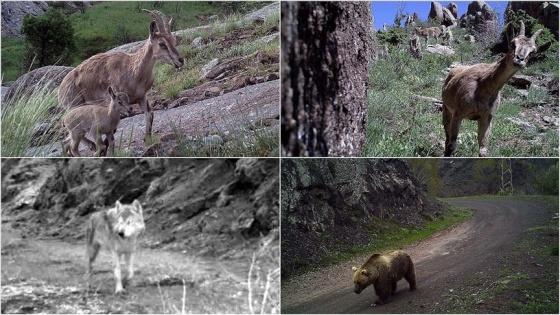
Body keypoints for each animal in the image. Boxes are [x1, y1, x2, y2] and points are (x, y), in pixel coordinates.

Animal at [58, 9, 184, 143]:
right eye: (161, 43)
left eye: (173, 40)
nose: (180, 60)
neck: (133, 70)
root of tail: (60, 91)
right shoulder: (114, 102)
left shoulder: (141, 97)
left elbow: (150, 114)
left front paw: (147, 140)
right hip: (74, 106)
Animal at [442, 21, 548, 157]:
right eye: (513, 43)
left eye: (533, 52)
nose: (519, 59)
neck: (484, 86)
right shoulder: (458, 113)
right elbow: (452, 144)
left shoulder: (487, 117)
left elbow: (483, 149)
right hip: (446, 107)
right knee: (447, 136)